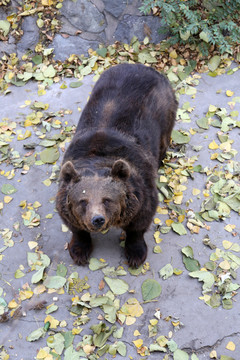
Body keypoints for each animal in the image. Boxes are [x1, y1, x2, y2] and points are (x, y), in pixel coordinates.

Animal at [55, 64, 177, 268]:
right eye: (83, 201)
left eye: (107, 199)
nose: (97, 219)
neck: (97, 157)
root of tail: (143, 66)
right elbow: (73, 224)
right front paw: (79, 250)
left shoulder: (141, 188)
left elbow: (140, 222)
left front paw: (135, 253)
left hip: (165, 111)